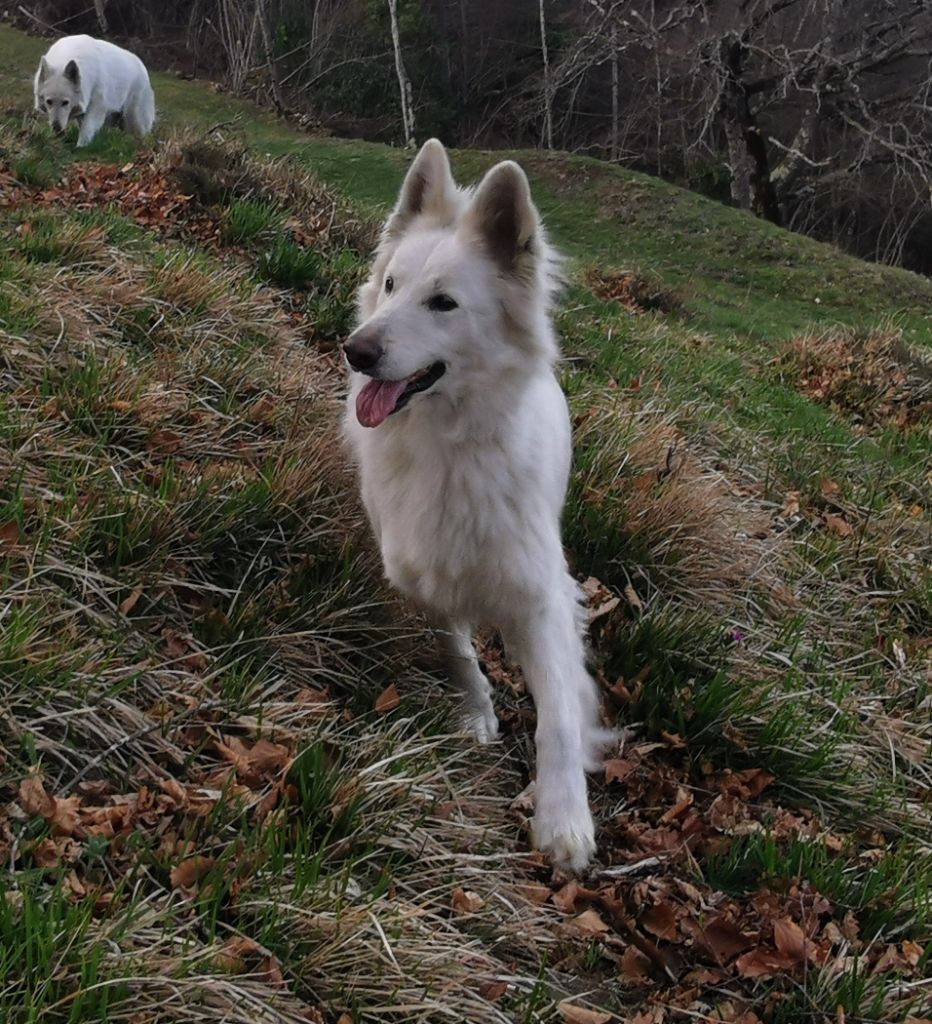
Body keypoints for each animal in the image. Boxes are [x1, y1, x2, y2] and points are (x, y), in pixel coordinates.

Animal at [342, 138, 606, 872]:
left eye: (444, 303)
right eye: (392, 285)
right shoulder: (419, 570)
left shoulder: (543, 596)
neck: (451, 446)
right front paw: (476, 711)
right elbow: (456, 647)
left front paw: (563, 818)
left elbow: (559, 720)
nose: (357, 350)